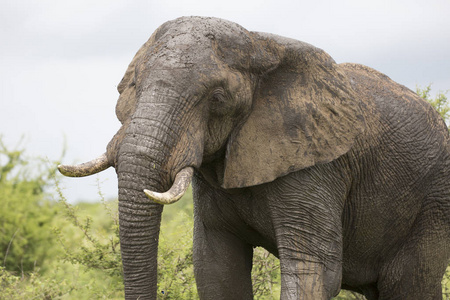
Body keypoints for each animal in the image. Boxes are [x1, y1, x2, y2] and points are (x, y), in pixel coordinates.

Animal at [58, 17, 448, 300]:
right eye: (132, 86)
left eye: (217, 98)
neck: (260, 44)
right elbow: (216, 268)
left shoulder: (315, 164)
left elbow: (313, 270)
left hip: (434, 203)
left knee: (408, 284)